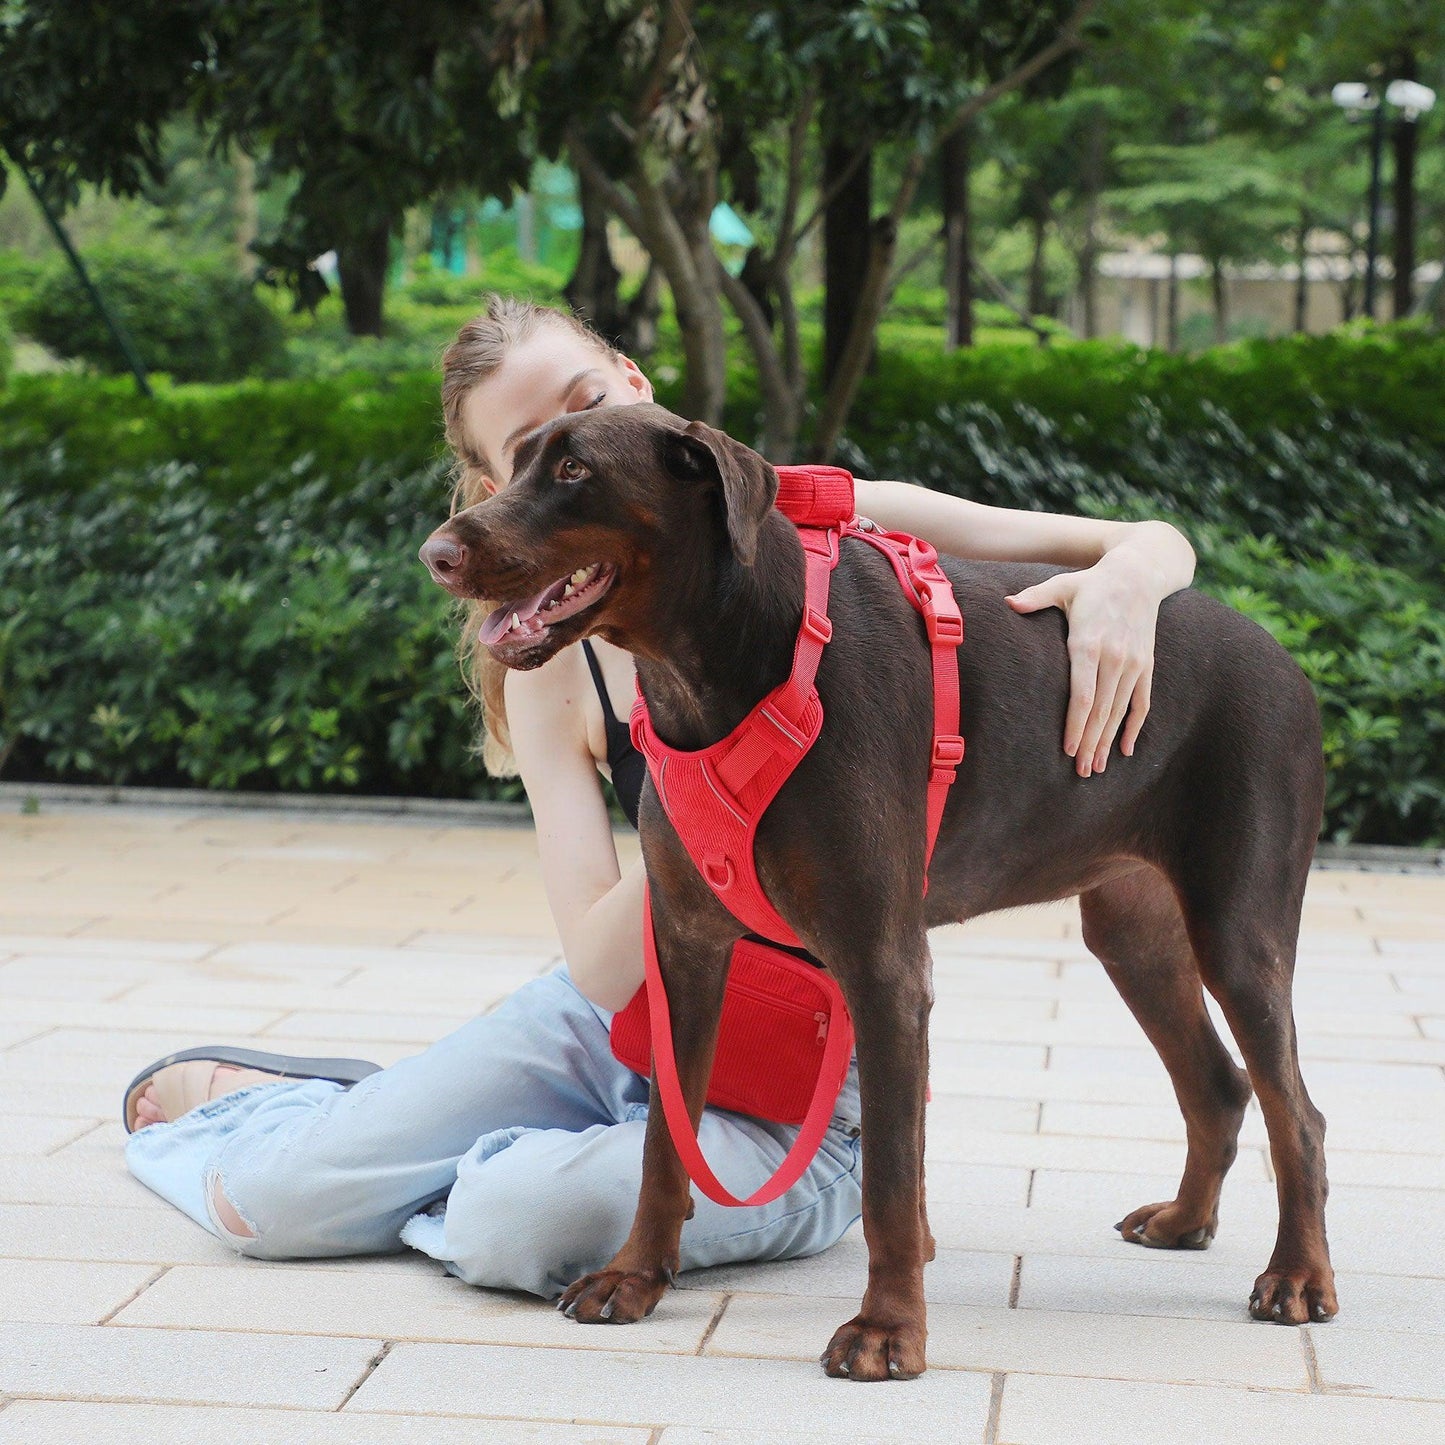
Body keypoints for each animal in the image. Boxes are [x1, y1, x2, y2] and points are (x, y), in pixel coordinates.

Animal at [421, 404, 1335, 1375]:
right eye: (516, 463)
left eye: (573, 471)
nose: (436, 552)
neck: (725, 653)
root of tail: (1285, 657)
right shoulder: (683, 947)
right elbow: (665, 1140)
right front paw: (635, 1275)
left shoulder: (882, 963)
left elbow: (893, 1177)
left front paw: (888, 1327)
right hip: (1134, 931)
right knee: (1218, 1085)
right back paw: (1185, 1219)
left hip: (1237, 924)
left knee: (1297, 1113)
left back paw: (1297, 1275)